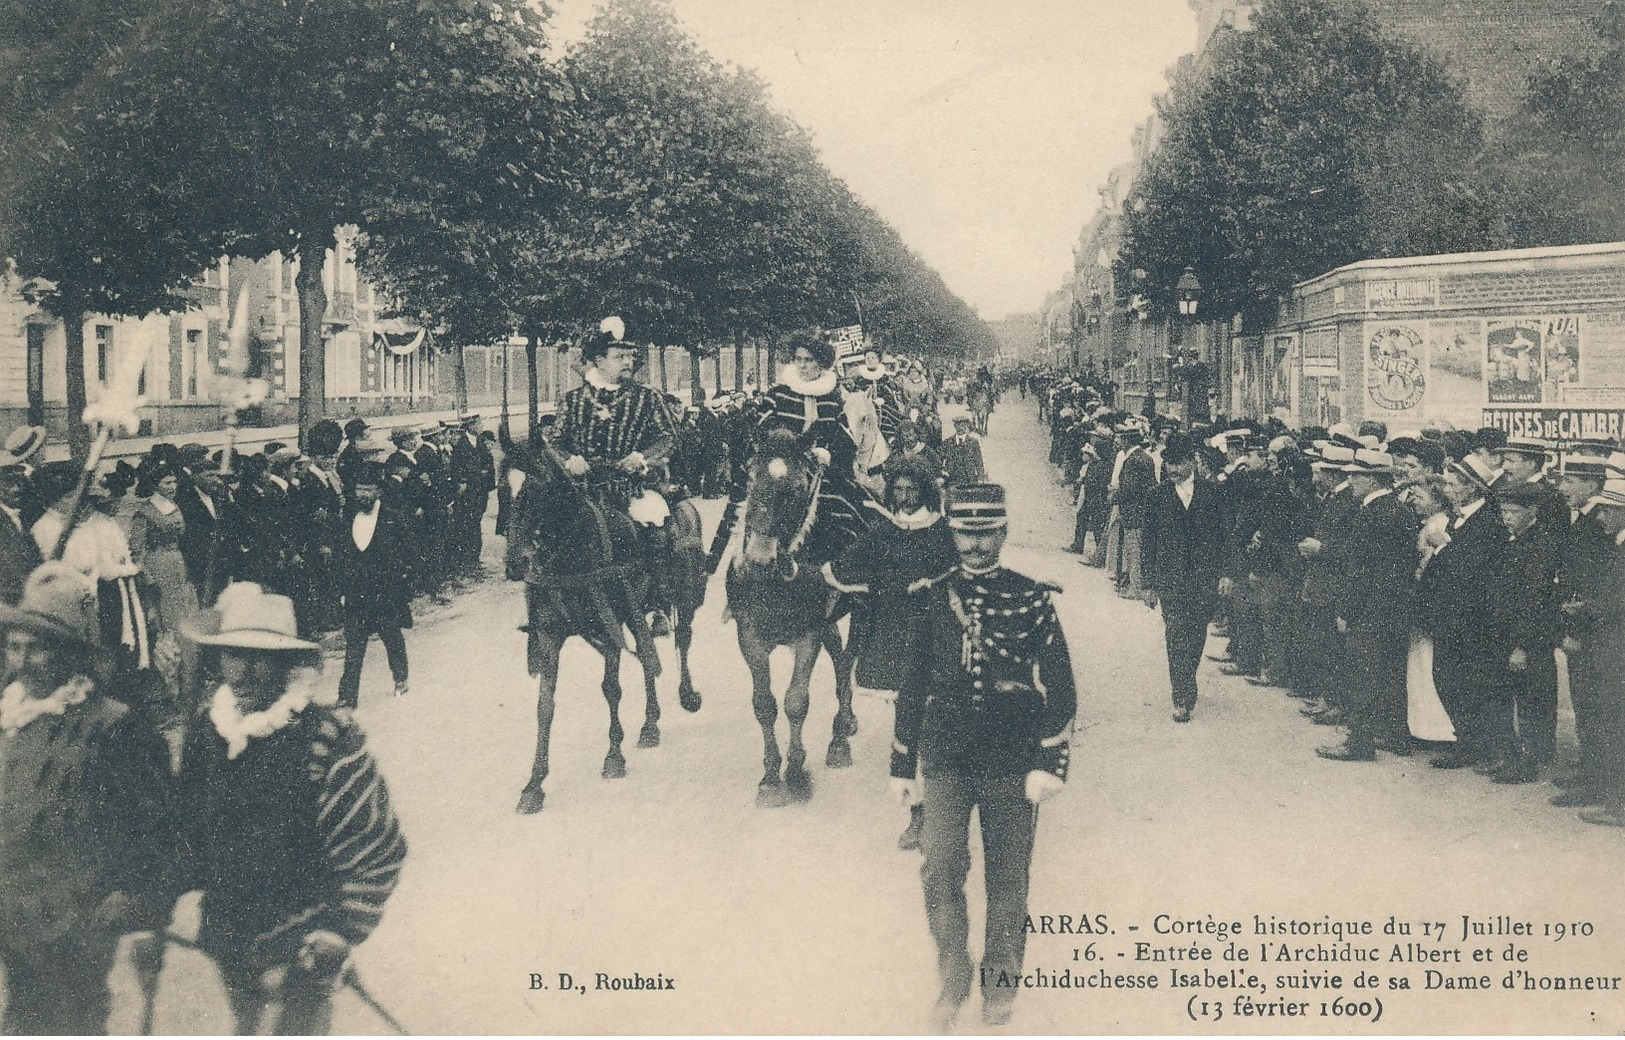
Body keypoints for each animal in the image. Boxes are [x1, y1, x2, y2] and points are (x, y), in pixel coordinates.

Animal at [500, 435, 705, 812]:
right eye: (503, 488)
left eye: (540, 489)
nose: (515, 563)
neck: (570, 554)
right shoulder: (550, 635)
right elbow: (544, 705)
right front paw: (534, 784)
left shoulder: (610, 628)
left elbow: (611, 688)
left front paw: (613, 756)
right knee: (647, 656)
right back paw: (650, 724)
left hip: (685, 595)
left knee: (682, 640)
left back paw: (687, 695)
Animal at [731, 429, 864, 806]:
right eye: (751, 477)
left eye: (796, 488)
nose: (757, 560)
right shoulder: (749, 636)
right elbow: (764, 704)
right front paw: (770, 777)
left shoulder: (808, 636)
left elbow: (795, 701)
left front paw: (794, 773)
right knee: (839, 659)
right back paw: (847, 721)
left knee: (846, 666)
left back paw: (839, 740)